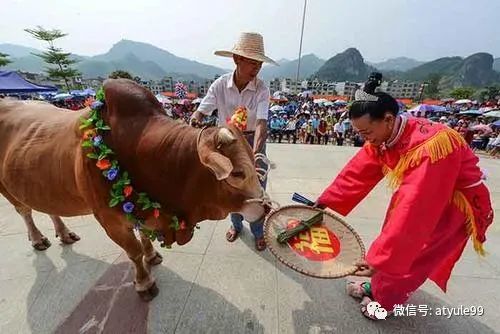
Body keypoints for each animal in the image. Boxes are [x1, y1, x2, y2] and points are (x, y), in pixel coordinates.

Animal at [0, 79, 270, 300]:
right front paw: (144, 282)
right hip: (7, 190)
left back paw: (64, 234)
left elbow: (144, 238)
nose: (266, 207)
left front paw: (152, 256)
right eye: (237, 173)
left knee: (49, 207)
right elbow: (133, 251)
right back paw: (38, 239)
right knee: (25, 211)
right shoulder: (109, 220)